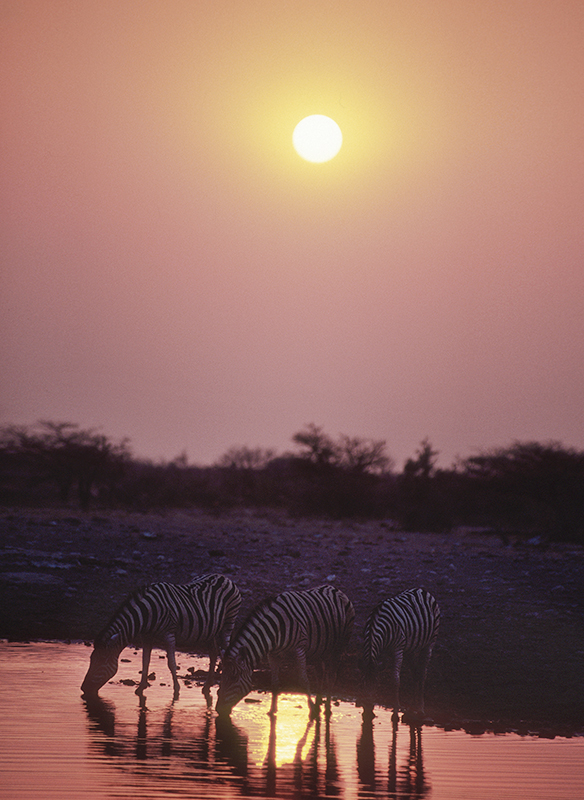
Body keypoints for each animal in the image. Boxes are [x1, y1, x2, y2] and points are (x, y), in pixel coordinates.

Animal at [80, 576, 240, 700]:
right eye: (91, 659)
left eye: (101, 661)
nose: (83, 688)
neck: (147, 613)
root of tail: (224, 577)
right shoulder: (146, 636)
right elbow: (145, 661)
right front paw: (141, 688)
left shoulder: (169, 634)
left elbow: (171, 663)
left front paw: (176, 690)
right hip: (210, 630)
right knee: (213, 653)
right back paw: (207, 686)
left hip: (229, 622)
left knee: (225, 651)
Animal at [214, 580, 352, 720]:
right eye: (222, 676)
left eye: (233, 678)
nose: (218, 709)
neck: (275, 628)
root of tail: (335, 588)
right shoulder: (272, 654)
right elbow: (274, 682)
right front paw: (272, 712)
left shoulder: (299, 649)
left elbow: (303, 680)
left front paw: (312, 710)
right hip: (318, 650)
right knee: (320, 674)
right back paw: (319, 703)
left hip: (339, 646)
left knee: (332, 676)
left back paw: (327, 709)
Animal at [360, 588, 438, 720]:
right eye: (362, 684)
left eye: (376, 686)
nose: (368, 714)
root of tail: (421, 590)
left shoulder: (397, 649)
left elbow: (395, 679)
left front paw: (396, 709)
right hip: (410, 647)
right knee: (415, 672)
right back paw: (412, 706)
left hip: (429, 642)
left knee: (422, 672)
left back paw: (420, 708)